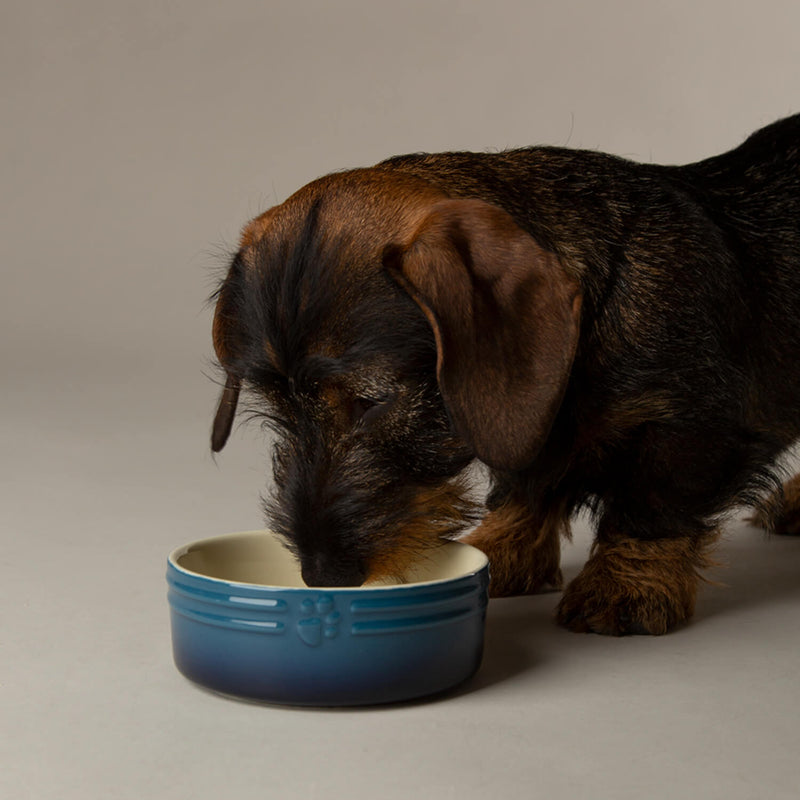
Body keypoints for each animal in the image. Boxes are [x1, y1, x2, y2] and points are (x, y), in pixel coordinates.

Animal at [211, 114, 800, 636]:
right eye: (277, 406)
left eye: (371, 401)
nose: (322, 575)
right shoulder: (527, 425)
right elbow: (524, 489)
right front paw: (499, 550)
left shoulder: (693, 426)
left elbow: (650, 503)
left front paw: (626, 585)